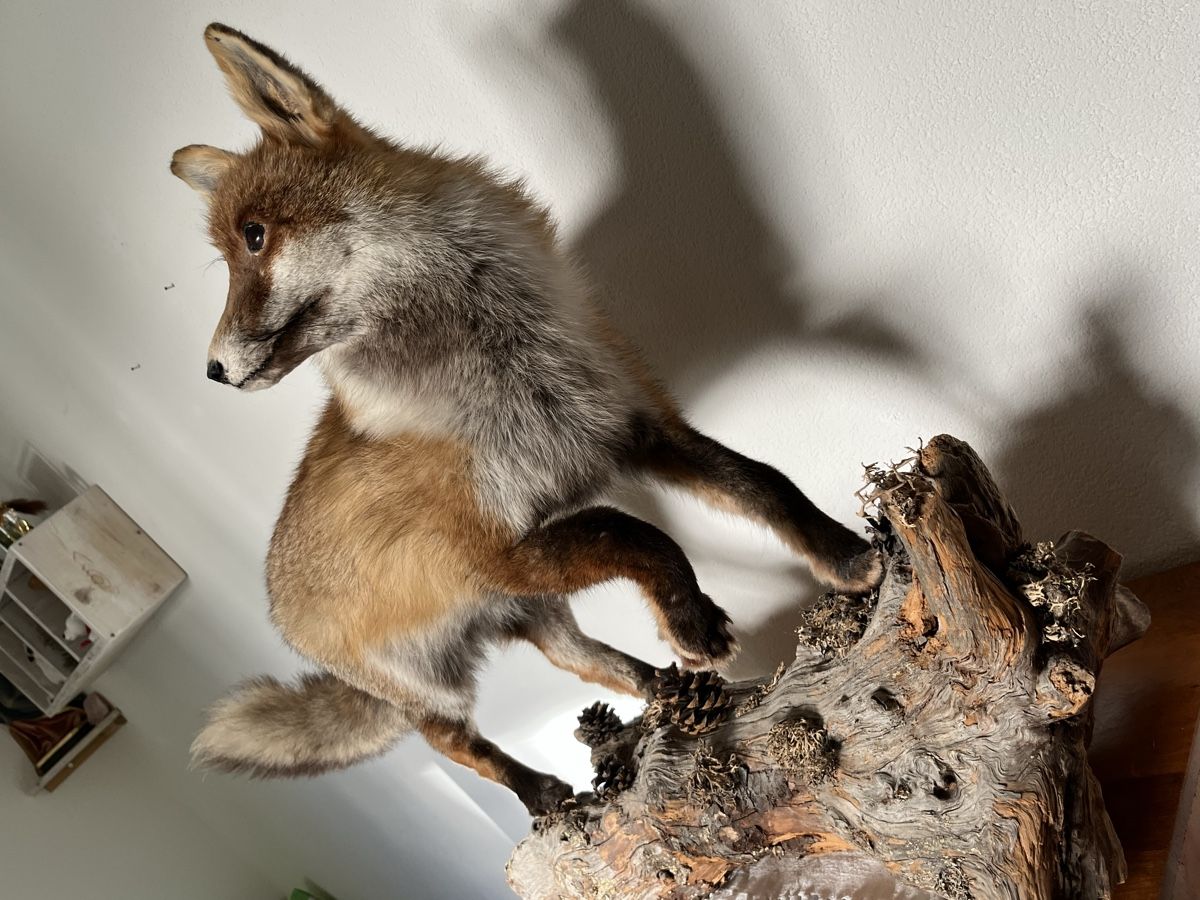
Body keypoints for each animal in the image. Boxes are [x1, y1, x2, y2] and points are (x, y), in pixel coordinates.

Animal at [171, 23, 882, 814]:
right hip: (440, 679)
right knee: (456, 742)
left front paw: (845, 558)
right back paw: (544, 791)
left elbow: (764, 484)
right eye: (236, 250)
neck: (504, 364)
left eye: (254, 237)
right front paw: (692, 619)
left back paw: (675, 698)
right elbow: (638, 531)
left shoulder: (632, 428)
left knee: (583, 661)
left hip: (532, 606)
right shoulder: (492, 548)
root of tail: (278, 608)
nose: (211, 371)